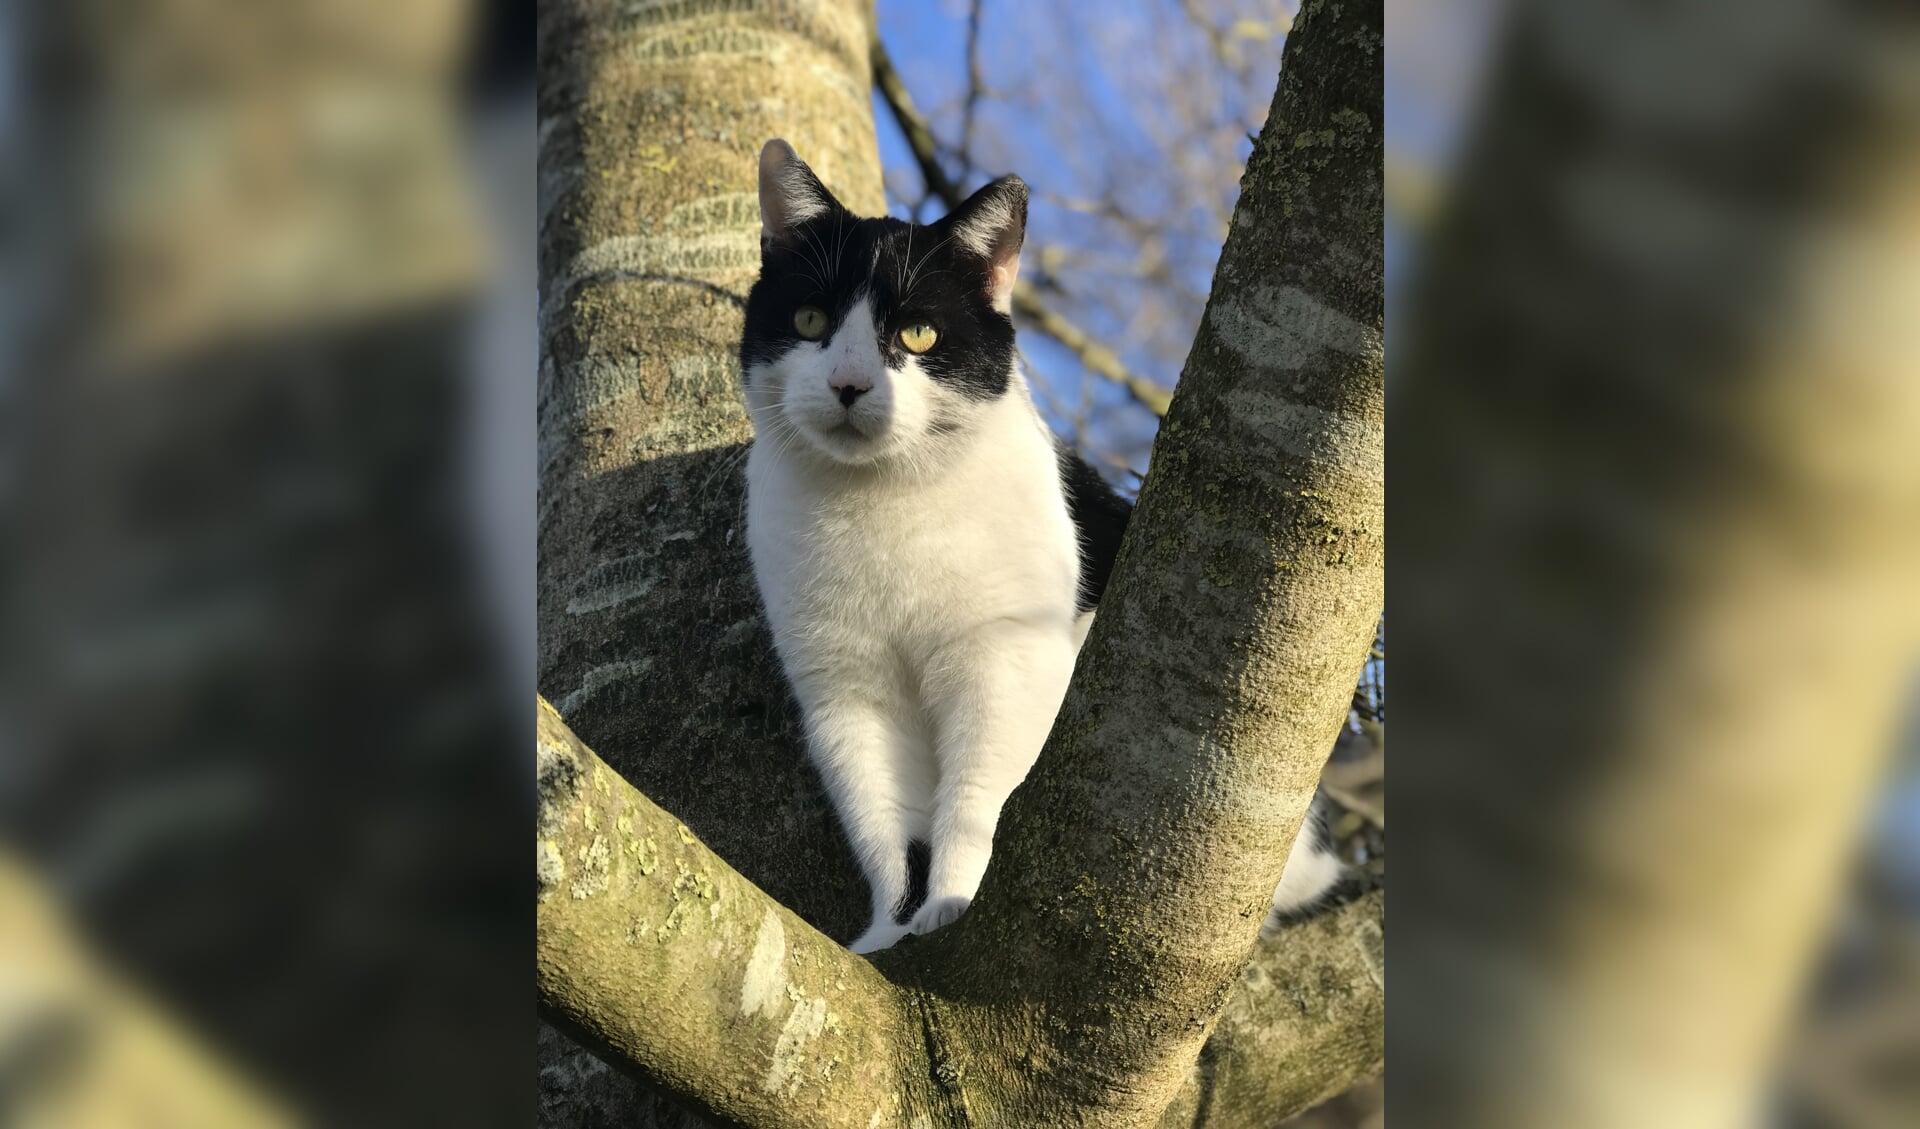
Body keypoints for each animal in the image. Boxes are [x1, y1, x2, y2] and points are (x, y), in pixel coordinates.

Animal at [733, 141, 1336, 952]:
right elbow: (883, 822)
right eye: (808, 318)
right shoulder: (844, 689)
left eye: (918, 335)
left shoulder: (1003, 659)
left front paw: (951, 903)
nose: (850, 384)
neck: (880, 507)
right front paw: (888, 932)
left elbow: (976, 799)